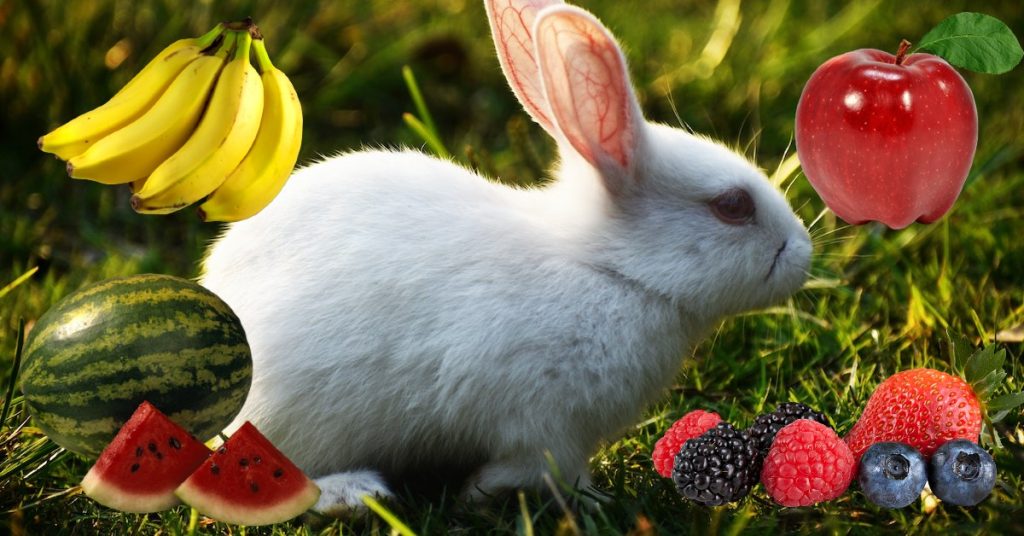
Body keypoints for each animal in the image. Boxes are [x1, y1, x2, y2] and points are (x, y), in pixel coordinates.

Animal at [199, 0, 812, 516]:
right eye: (733, 206)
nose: (803, 253)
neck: (610, 270)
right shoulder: (545, 425)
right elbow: (543, 468)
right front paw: (540, 496)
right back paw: (353, 492)